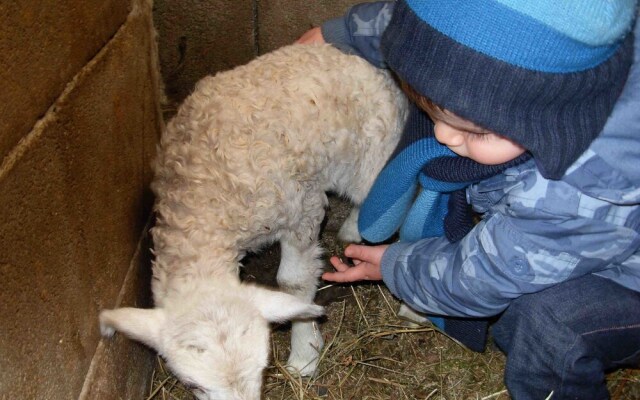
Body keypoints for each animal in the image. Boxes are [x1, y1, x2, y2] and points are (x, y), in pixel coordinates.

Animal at [100, 42, 410, 398]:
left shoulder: (302, 209)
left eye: (265, 366)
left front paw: (304, 354)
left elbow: (293, 283)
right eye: (192, 385)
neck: (205, 199)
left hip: (374, 149)